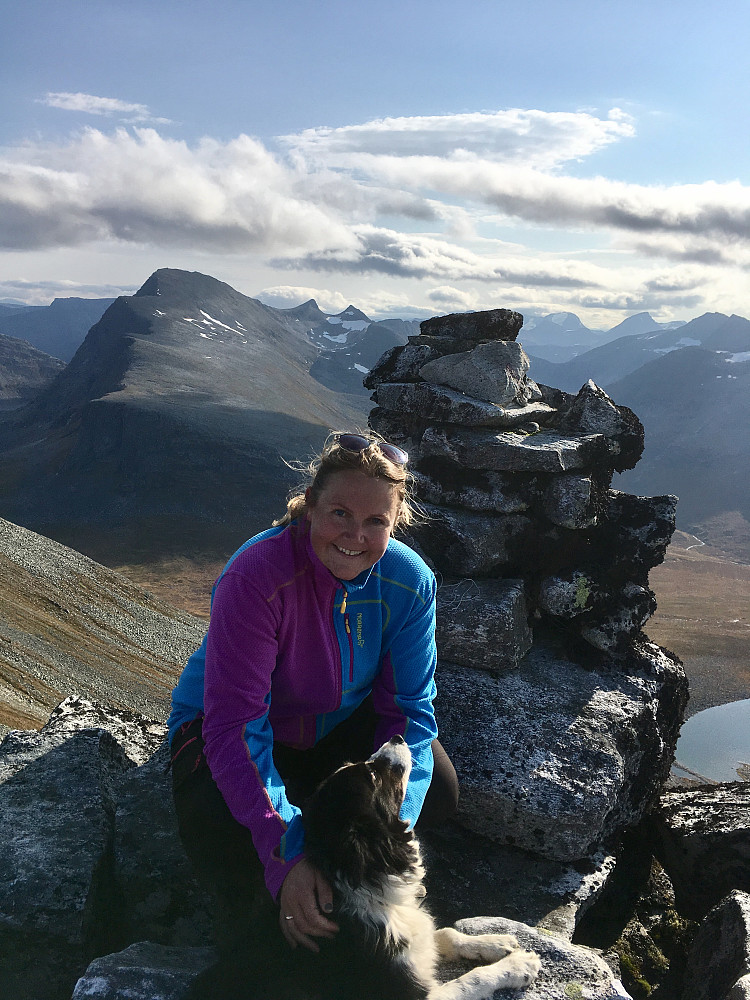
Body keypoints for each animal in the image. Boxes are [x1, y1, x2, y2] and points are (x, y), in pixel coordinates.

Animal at [188, 736, 540, 1000]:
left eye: (351, 765)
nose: (397, 737)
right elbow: (471, 980)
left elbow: (444, 933)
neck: (363, 877)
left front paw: (498, 943)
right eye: (373, 777)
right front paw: (519, 965)